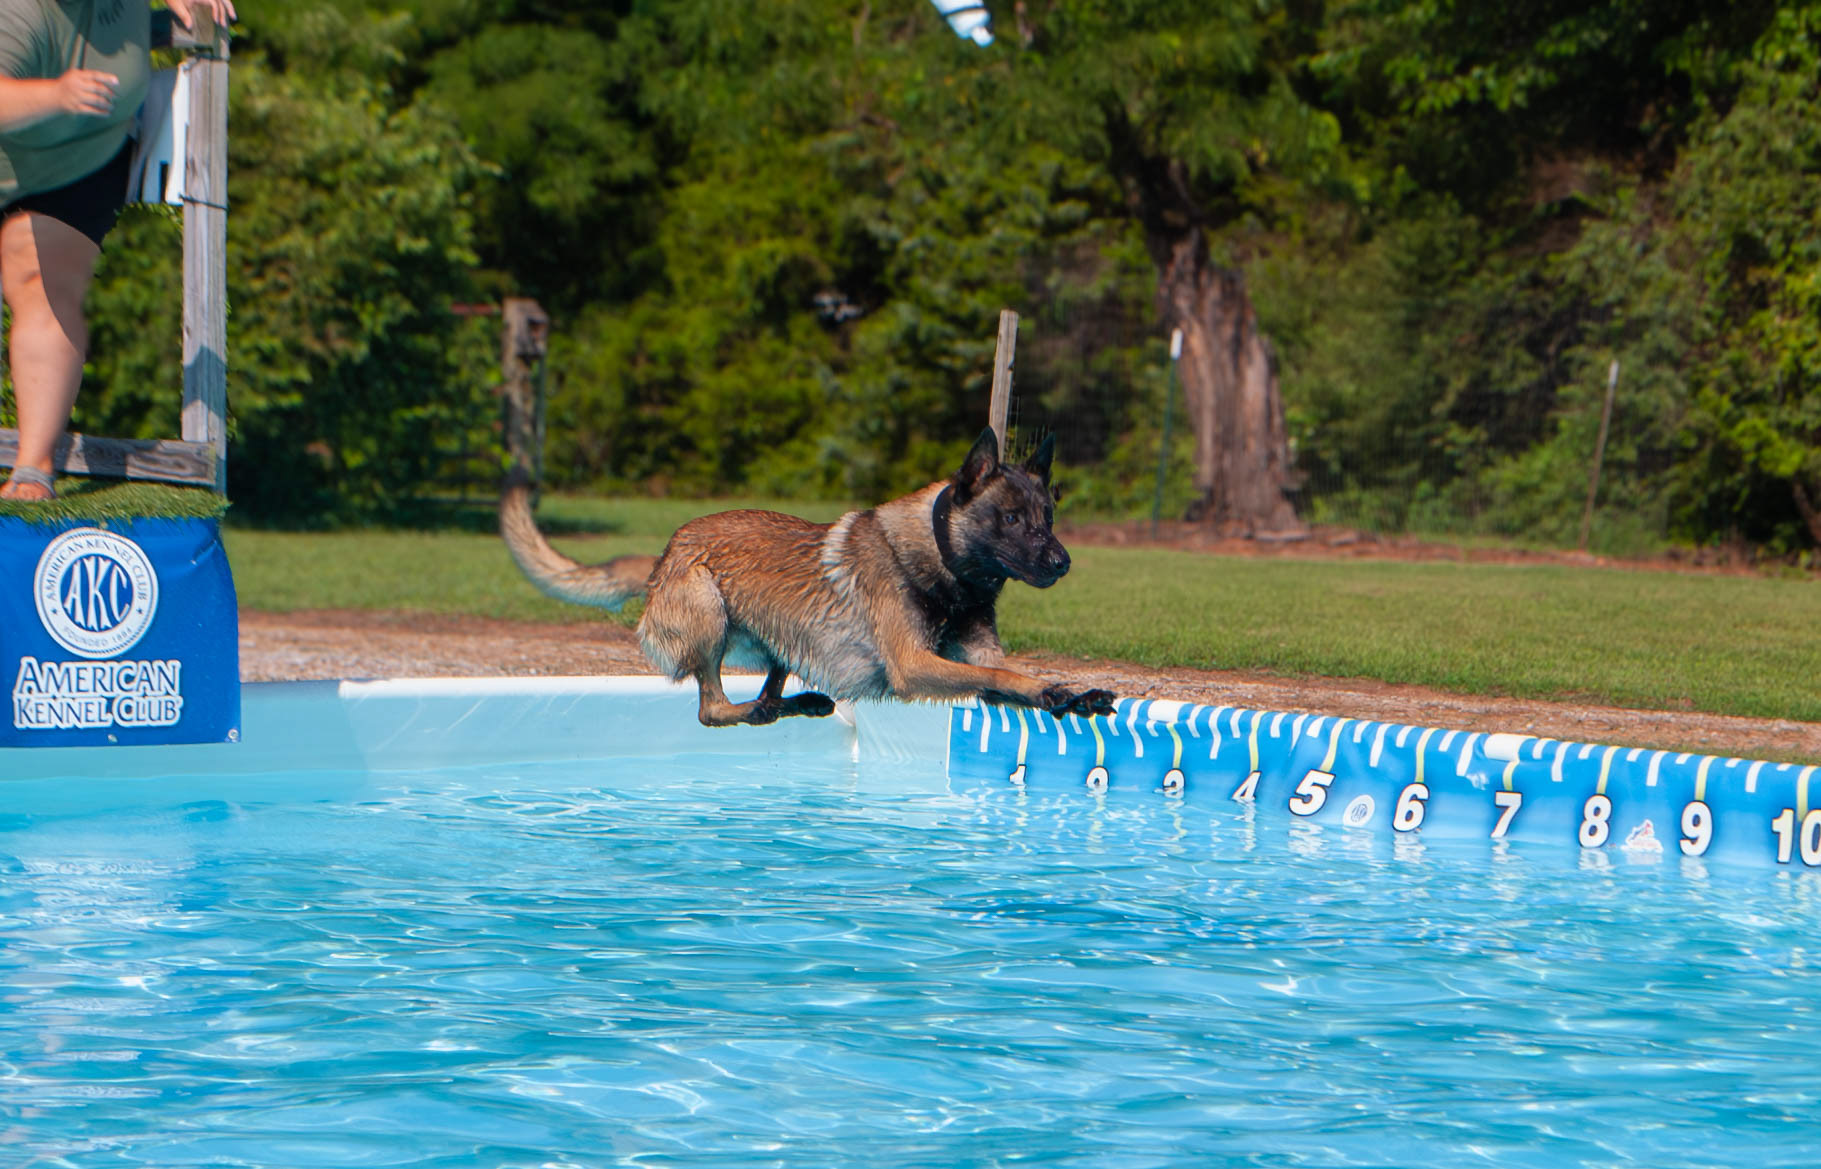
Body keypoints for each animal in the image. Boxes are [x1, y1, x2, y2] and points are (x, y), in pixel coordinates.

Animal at [500, 428, 1117, 727]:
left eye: (1048, 517)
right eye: (1010, 518)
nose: (1062, 562)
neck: (942, 567)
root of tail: (663, 557)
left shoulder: (973, 657)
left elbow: (1006, 675)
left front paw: (1070, 694)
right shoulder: (915, 665)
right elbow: (1004, 677)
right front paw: (1055, 690)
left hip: (776, 640)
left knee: (766, 687)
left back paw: (791, 704)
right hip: (707, 607)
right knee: (711, 710)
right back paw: (758, 709)